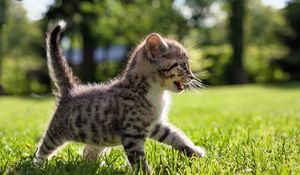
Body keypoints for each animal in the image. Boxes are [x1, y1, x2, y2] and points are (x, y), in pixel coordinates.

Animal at [34, 21, 205, 173]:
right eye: (183, 65)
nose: (192, 76)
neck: (154, 91)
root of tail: (71, 90)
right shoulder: (132, 133)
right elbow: (138, 159)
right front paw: (145, 172)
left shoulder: (154, 124)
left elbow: (174, 135)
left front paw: (194, 151)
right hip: (57, 131)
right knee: (44, 147)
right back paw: (38, 165)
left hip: (97, 137)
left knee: (87, 151)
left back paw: (93, 166)